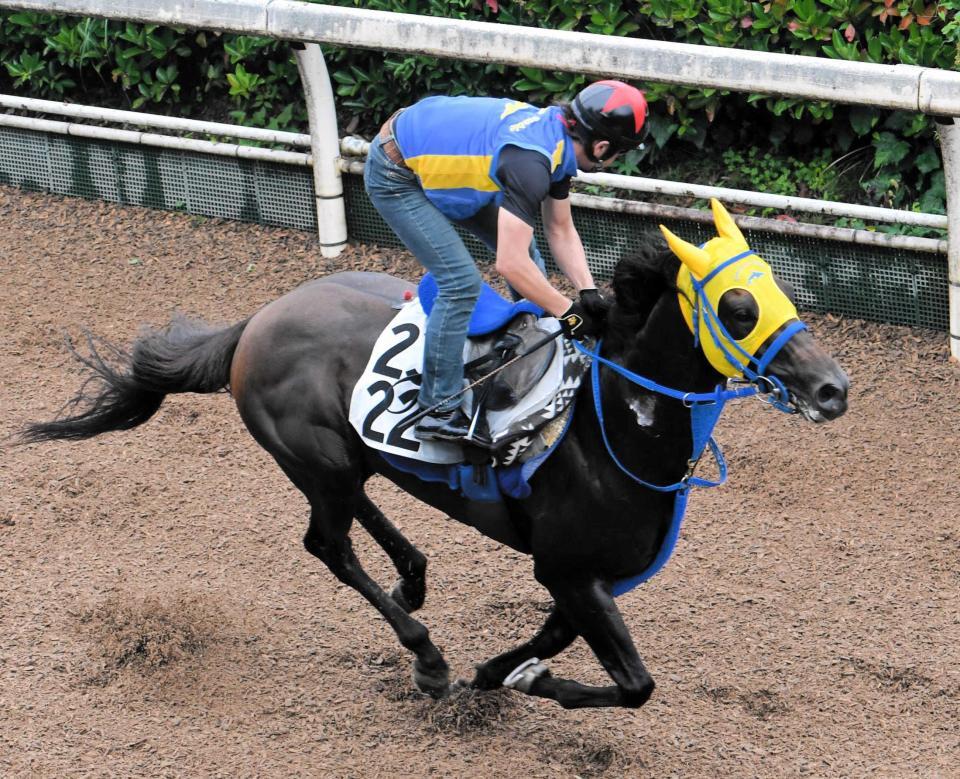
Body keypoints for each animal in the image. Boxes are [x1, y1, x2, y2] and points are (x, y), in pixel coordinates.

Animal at [20, 207, 848, 712]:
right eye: (738, 309)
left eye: (781, 290)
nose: (832, 388)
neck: (612, 425)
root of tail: (254, 322)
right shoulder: (568, 568)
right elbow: (635, 682)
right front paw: (512, 677)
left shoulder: (593, 577)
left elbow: (561, 643)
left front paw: (503, 668)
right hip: (313, 457)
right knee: (328, 543)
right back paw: (426, 655)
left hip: (342, 457)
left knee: (363, 506)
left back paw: (415, 577)